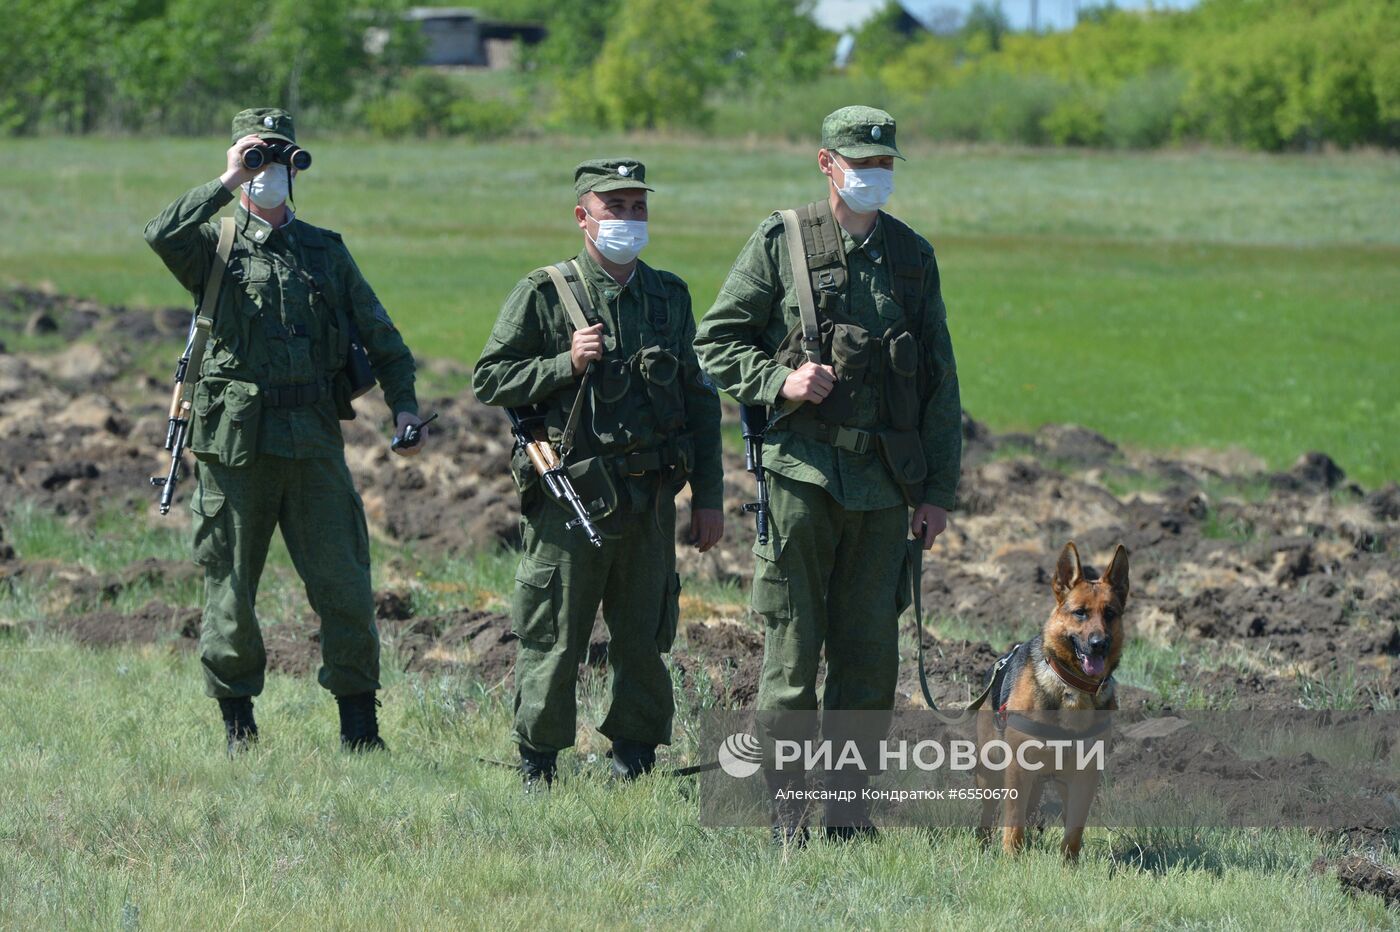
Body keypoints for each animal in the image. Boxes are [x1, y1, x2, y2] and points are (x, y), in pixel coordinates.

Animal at [980, 545, 1131, 856]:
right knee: (989, 813)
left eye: (1110, 613)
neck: (1073, 685)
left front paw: (1068, 863)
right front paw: (1011, 858)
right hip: (990, 770)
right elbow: (1013, 821)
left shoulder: (1085, 776)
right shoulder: (1017, 769)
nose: (1099, 644)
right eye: (1080, 613)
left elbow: (1074, 829)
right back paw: (984, 844)